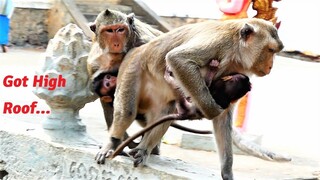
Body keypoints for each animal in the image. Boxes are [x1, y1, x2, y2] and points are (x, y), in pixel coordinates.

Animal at [96, 17, 284, 179]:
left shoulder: (238, 70)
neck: (237, 48)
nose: (270, 66)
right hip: (132, 67)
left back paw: (143, 149)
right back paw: (112, 144)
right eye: (270, 50)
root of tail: (135, 50)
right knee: (127, 111)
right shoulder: (220, 42)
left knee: (164, 114)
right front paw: (211, 110)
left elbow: (224, 118)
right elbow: (179, 59)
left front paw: (227, 171)